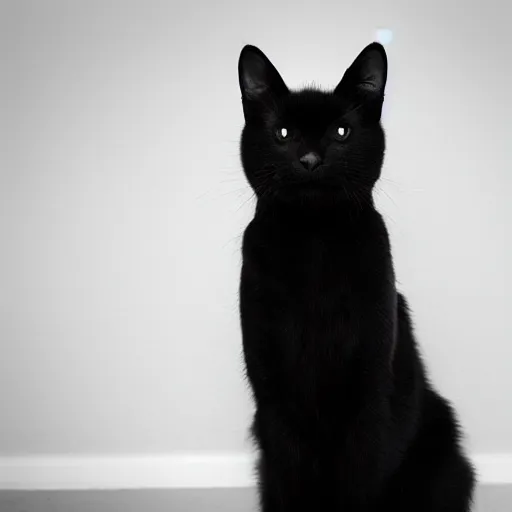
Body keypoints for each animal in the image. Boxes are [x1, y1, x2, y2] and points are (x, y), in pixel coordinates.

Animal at [238, 44, 474, 512]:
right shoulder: (271, 393)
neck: (314, 243)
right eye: (283, 133)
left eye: (342, 132)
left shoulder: (367, 389)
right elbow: (289, 480)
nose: (310, 160)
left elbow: (357, 479)